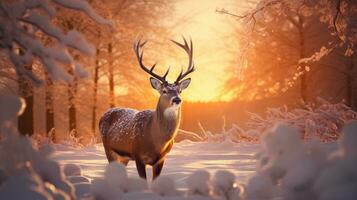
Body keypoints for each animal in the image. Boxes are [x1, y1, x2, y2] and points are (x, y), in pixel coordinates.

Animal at [98, 37, 195, 180]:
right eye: (164, 91)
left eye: (180, 91)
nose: (177, 99)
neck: (156, 141)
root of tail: (103, 114)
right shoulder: (138, 155)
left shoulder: (161, 159)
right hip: (108, 149)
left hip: (123, 158)